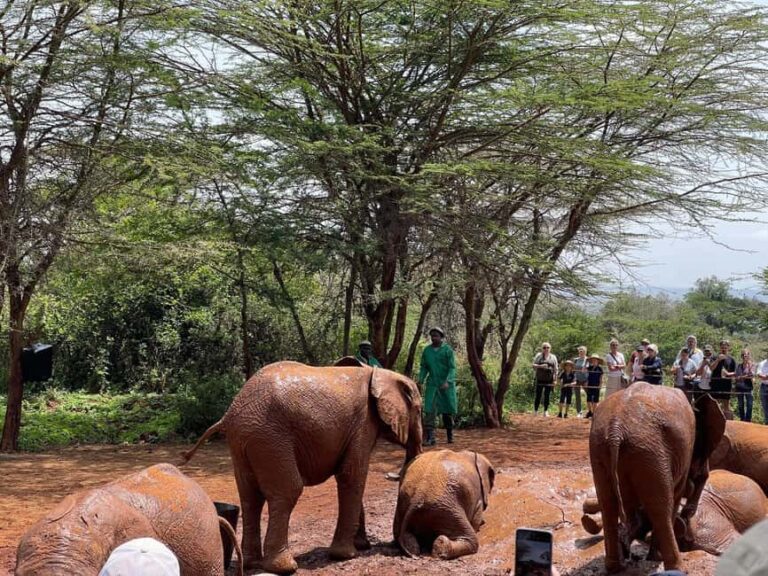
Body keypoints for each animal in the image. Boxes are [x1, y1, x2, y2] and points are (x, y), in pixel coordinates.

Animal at [181, 361, 423, 574]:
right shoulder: (363, 425)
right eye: (419, 410)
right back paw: (285, 567)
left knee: (250, 497)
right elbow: (352, 475)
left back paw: (252, 564)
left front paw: (361, 546)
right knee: (288, 490)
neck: (380, 372)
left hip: (243, 441)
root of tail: (230, 413)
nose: (396, 544)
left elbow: (351, 477)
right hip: (269, 437)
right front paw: (347, 555)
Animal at [589, 384, 725, 573]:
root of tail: (616, 429)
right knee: (661, 508)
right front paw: (655, 557)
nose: (688, 514)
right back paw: (676, 567)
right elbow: (674, 497)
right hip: (650, 452)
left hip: (601, 448)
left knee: (607, 504)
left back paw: (616, 566)